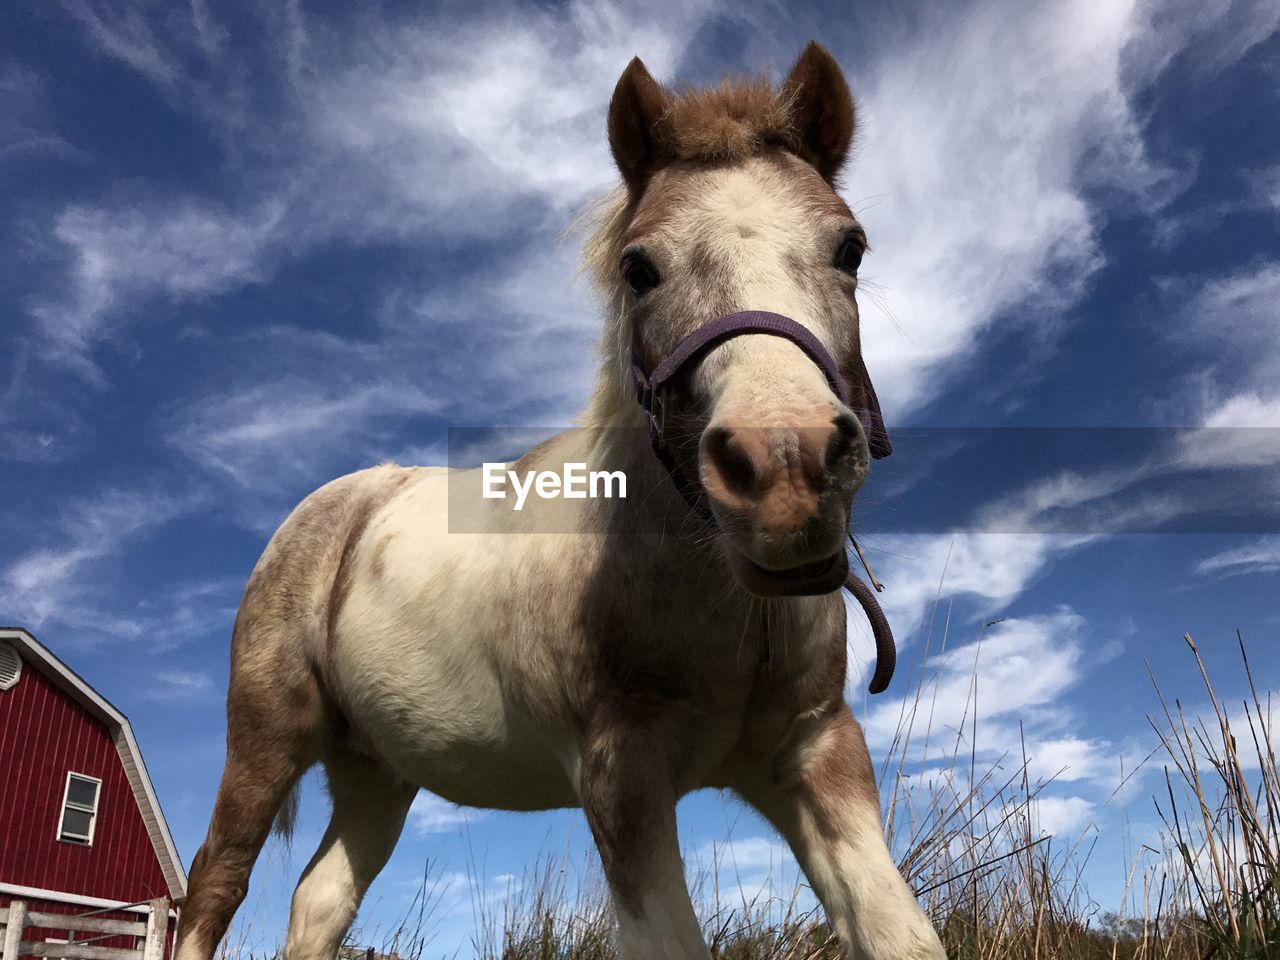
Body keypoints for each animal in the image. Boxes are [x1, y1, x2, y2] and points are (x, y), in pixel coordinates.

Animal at [175, 41, 947, 957]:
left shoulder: (816, 752)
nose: (785, 468)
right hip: (266, 738)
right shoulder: (622, 776)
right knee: (213, 884)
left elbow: (904, 935)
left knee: (319, 900)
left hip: (376, 772)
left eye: (850, 248)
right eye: (638, 268)